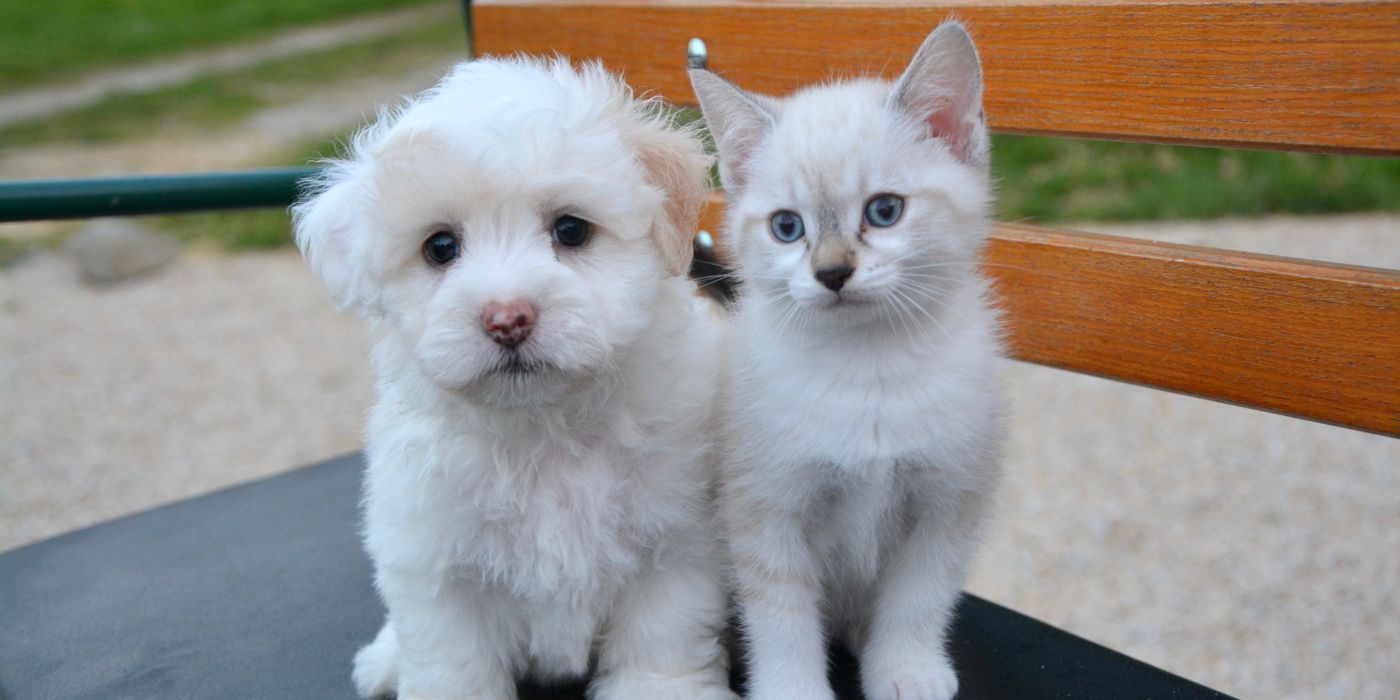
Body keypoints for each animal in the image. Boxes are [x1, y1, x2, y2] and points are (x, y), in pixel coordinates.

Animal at [291, 56, 739, 700]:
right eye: (440, 246)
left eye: (571, 230)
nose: (507, 319)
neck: (542, 429)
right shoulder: (438, 569)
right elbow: (452, 663)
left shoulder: (675, 540)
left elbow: (662, 636)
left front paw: (660, 688)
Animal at [691, 21, 1008, 700]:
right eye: (787, 227)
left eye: (884, 211)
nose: (831, 273)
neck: (869, 370)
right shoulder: (767, 506)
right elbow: (781, 618)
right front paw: (792, 689)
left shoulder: (948, 499)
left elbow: (919, 597)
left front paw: (906, 668)